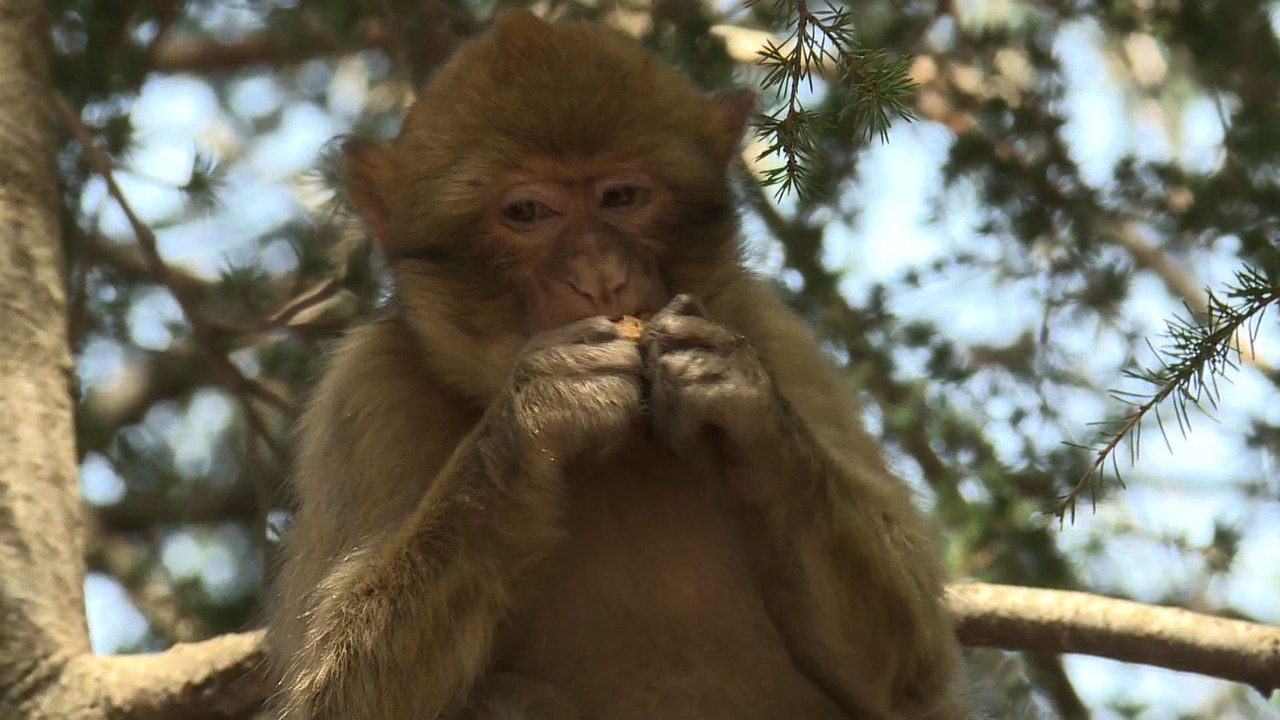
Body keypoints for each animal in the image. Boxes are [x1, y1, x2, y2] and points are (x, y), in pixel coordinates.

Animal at [267, 9, 971, 720]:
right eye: (526, 212)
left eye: (622, 197)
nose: (600, 277)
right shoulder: (367, 388)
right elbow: (339, 696)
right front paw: (533, 416)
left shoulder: (765, 325)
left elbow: (902, 667)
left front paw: (737, 395)